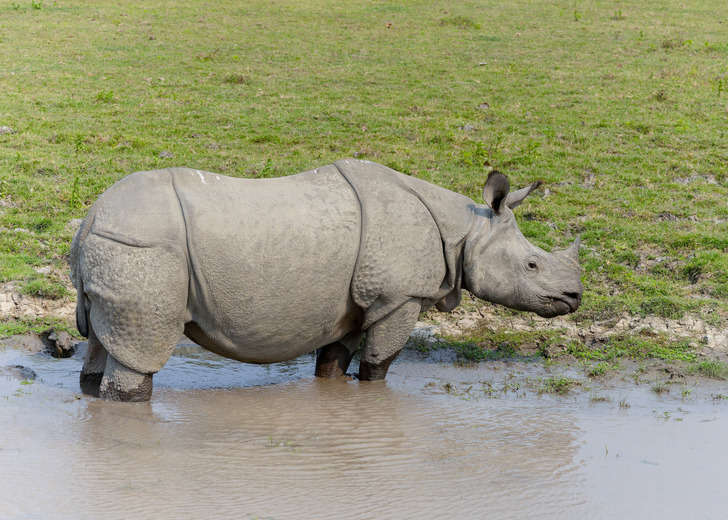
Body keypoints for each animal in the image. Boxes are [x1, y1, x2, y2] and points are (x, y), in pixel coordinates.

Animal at [70, 159, 582, 401]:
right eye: (533, 266)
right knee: (140, 353)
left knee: (101, 340)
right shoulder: (400, 296)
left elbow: (335, 362)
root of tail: (91, 217)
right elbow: (379, 365)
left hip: (118, 246)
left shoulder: (358, 301)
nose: (574, 297)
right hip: (143, 248)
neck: (467, 229)